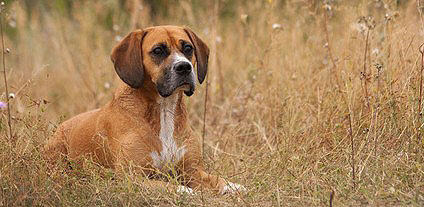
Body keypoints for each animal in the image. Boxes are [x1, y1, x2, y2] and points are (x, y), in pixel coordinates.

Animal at [43, 25, 245, 194]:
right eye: (158, 50)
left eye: (188, 48)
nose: (184, 67)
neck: (163, 111)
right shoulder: (132, 176)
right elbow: (168, 186)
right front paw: (184, 191)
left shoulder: (193, 172)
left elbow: (217, 180)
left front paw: (233, 186)